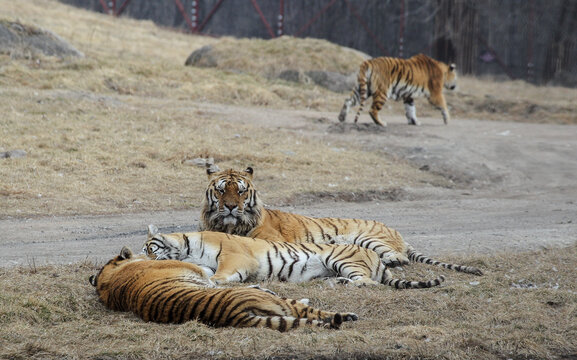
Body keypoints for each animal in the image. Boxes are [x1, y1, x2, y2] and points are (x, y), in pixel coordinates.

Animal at [88, 248, 358, 332]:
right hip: (283, 304)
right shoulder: (202, 273)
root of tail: (232, 315)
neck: (107, 281)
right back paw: (347, 316)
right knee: (314, 312)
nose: (152, 254)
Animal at [198, 166, 482, 276]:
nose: (231, 207)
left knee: (399, 257)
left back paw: (393, 259)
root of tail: (397, 232)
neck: (230, 225)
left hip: (367, 237)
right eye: (222, 190)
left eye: (241, 191)